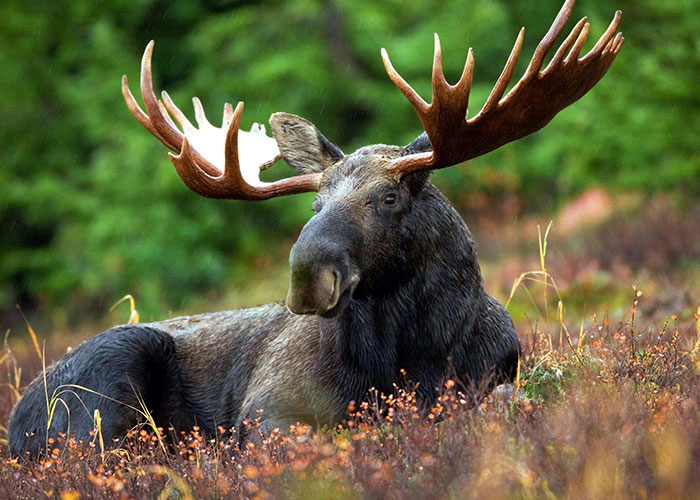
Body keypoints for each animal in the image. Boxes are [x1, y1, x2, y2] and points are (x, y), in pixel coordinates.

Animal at [9, 0, 622, 457]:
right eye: (314, 205)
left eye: (389, 196)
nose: (308, 276)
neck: (414, 354)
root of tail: (15, 422)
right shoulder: (268, 410)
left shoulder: (494, 377)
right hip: (109, 384)